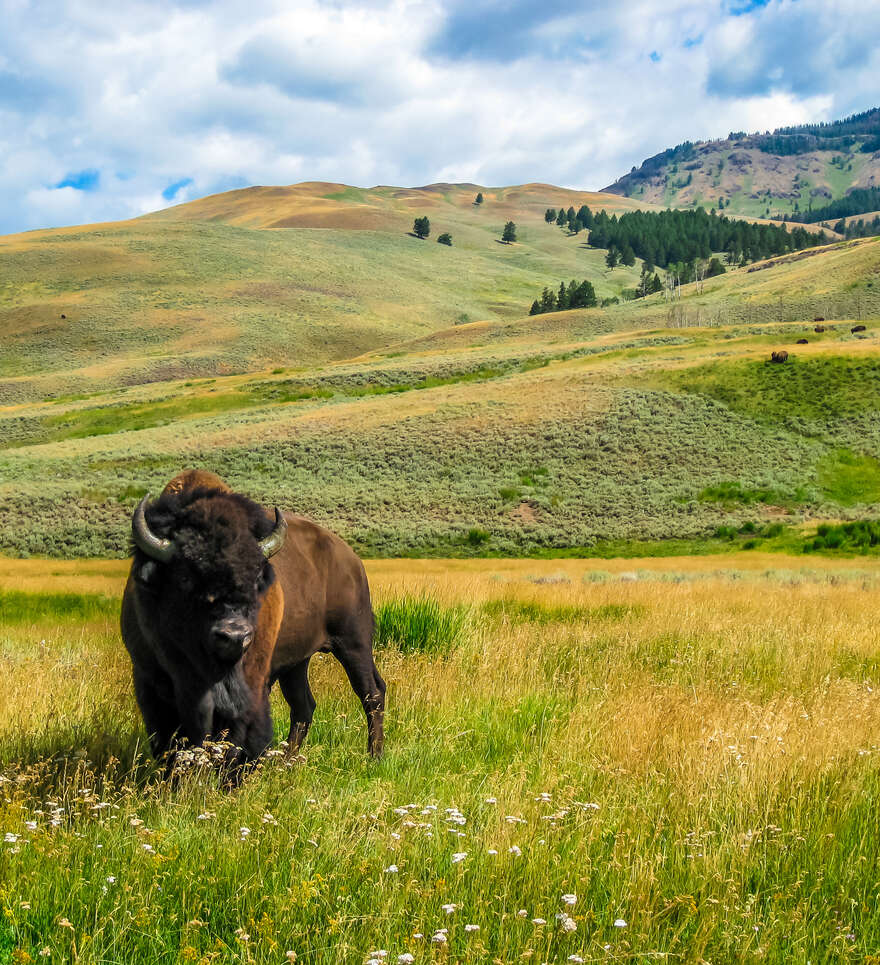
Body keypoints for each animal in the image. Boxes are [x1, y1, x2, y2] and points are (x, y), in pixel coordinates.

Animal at [121, 470, 384, 780]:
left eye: (256, 576)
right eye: (185, 576)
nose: (234, 635)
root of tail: (351, 558)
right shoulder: (149, 680)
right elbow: (168, 742)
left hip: (353, 643)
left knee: (371, 693)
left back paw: (374, 756)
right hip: (297, 662)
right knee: (303, 706)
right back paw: (285, 763)